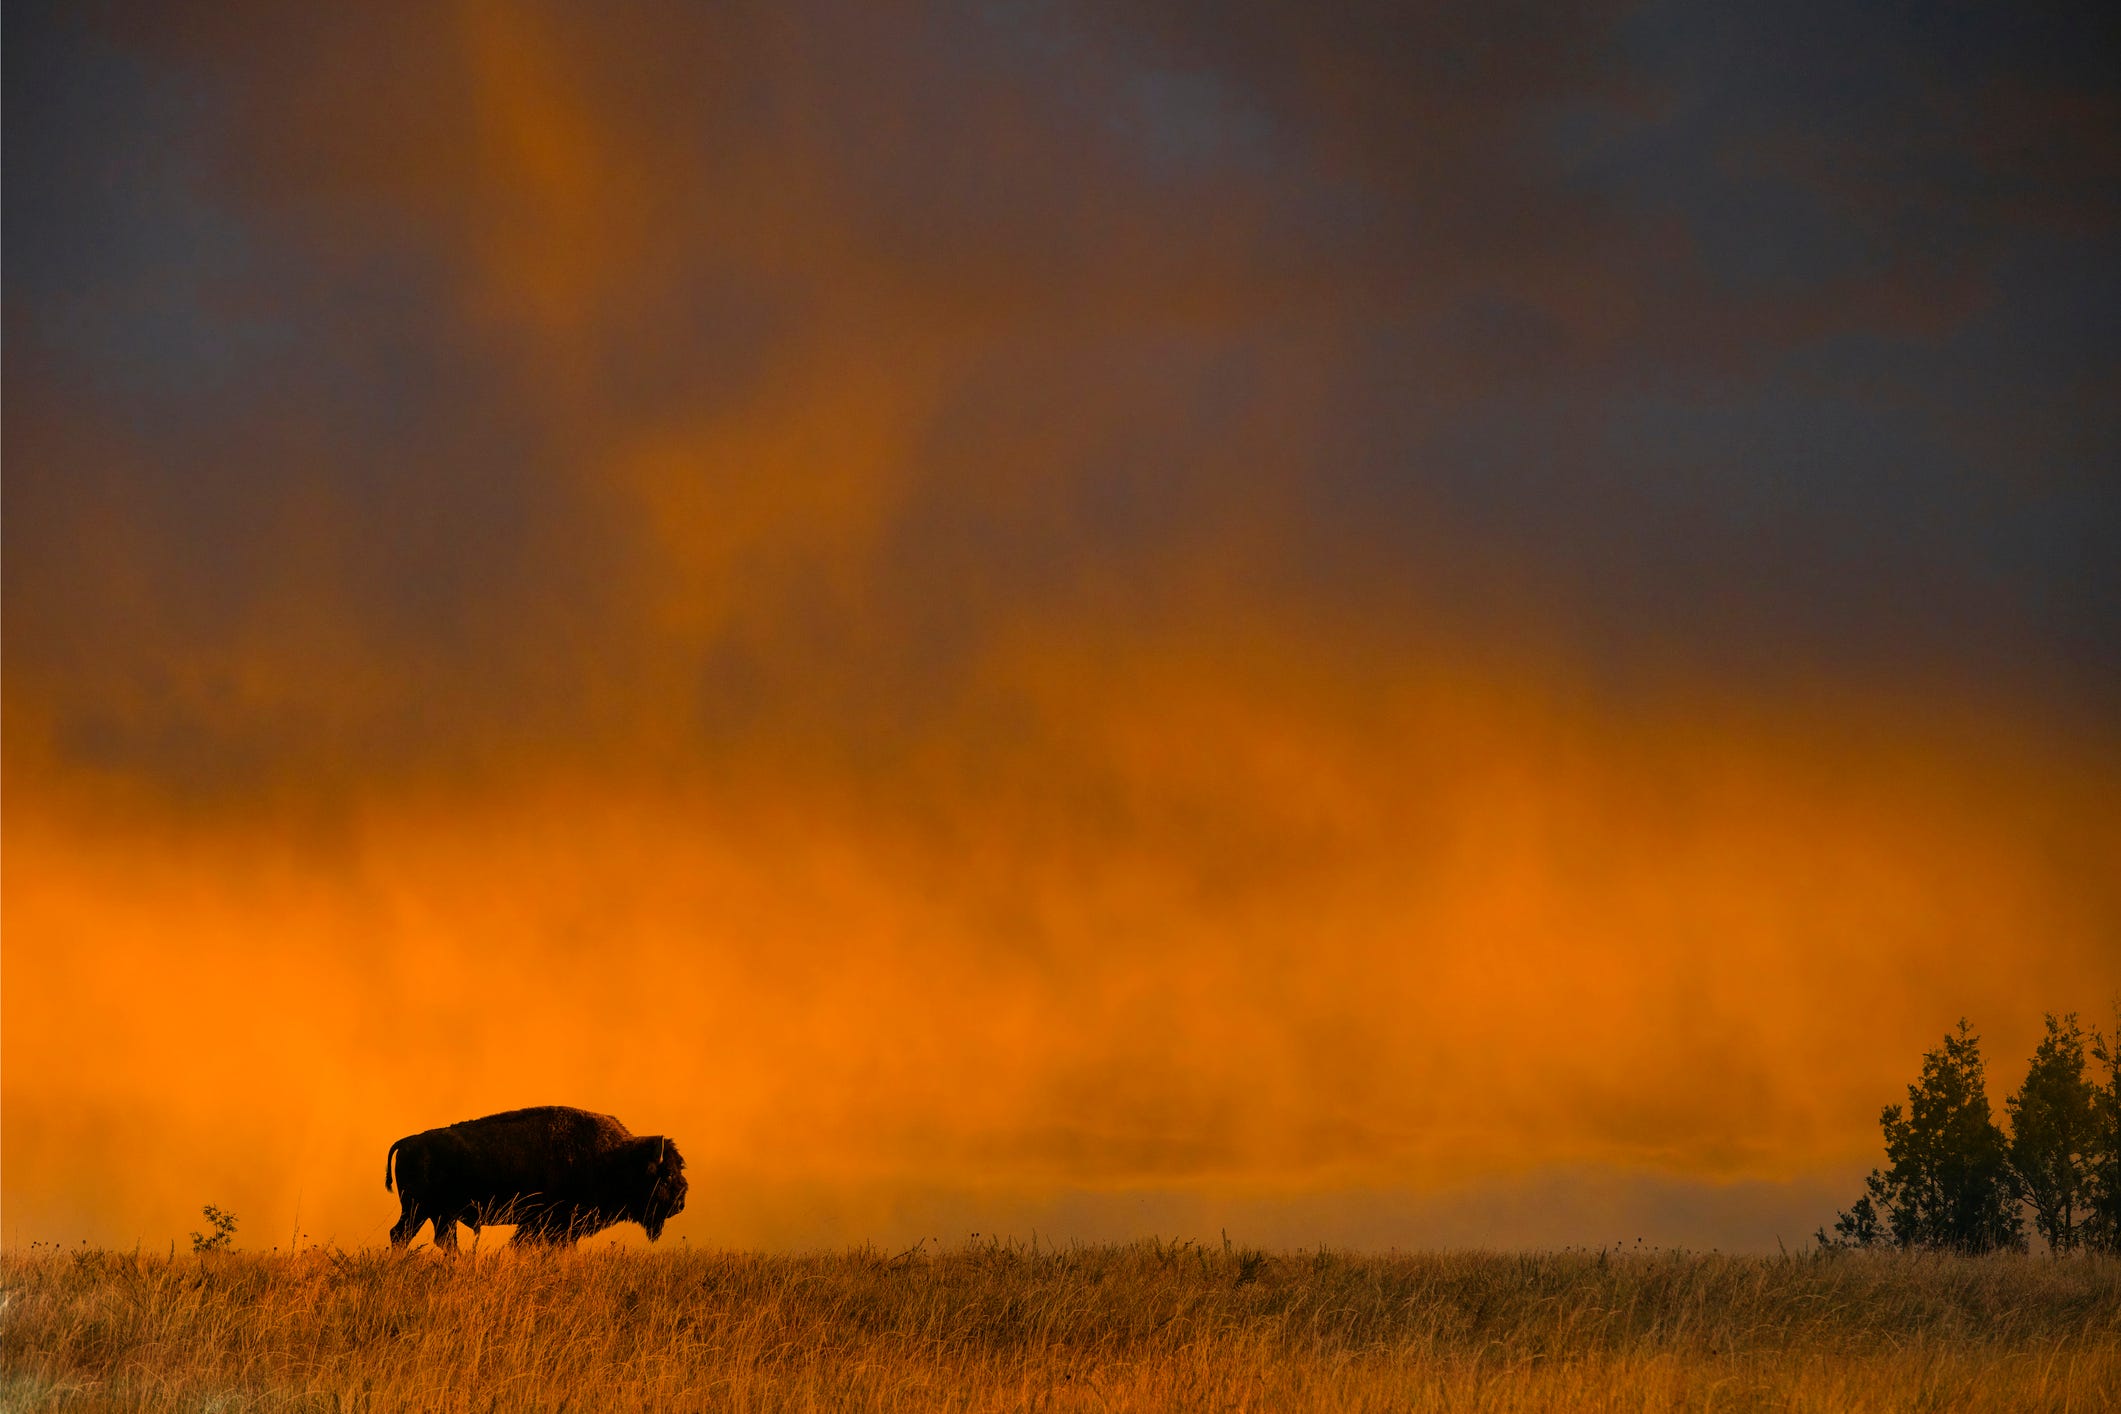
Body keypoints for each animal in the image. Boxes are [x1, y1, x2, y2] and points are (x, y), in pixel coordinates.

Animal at [379, 1102, 678, 1246]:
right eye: (666, 1177)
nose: (680, 1204)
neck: (614, 1156)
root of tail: (407, 1141)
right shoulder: (548, 1224)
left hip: (435, 1215)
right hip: (420, 1210)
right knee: (403, 1236)